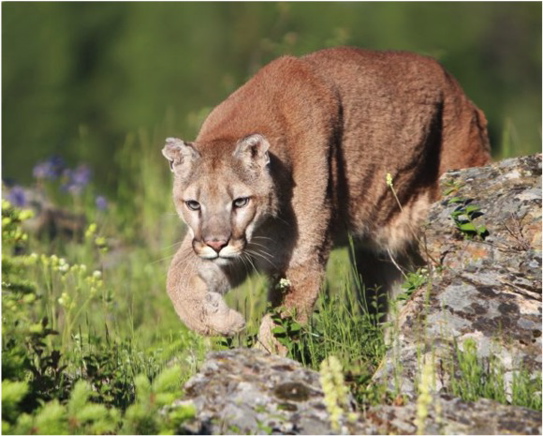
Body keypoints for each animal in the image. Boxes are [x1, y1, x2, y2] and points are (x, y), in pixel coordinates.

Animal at [163, 46, 492, 352]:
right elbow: (175, 279)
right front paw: (223, 321)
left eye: (240, 202)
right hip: (377, 255)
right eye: (194, 204)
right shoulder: (232, 250)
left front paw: (256, 361)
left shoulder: (301, 262)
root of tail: (458, 87)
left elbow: (279, 330)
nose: (216, 243)